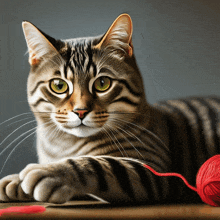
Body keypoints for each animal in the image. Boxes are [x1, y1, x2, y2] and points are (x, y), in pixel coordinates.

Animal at [0, 13, 219, 205]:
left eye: (102, 83)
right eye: (59, 86)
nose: (80, 111)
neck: (63, 145)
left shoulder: (152, 167)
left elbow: (97, 164)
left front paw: (49, 171)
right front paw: (16, 179)